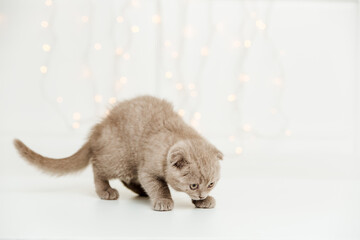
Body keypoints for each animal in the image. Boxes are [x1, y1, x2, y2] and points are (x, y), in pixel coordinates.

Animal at [13, 94, 222, 211]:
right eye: (194, 185)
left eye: (211, 184)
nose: (202, 195)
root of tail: (100, 127)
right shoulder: (148, 168)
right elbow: (159, 185)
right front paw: (163, 200)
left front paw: (203, 202)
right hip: (119, 157)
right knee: (98, 168)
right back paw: (106, 190)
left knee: (128, 179)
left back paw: (142, 191)